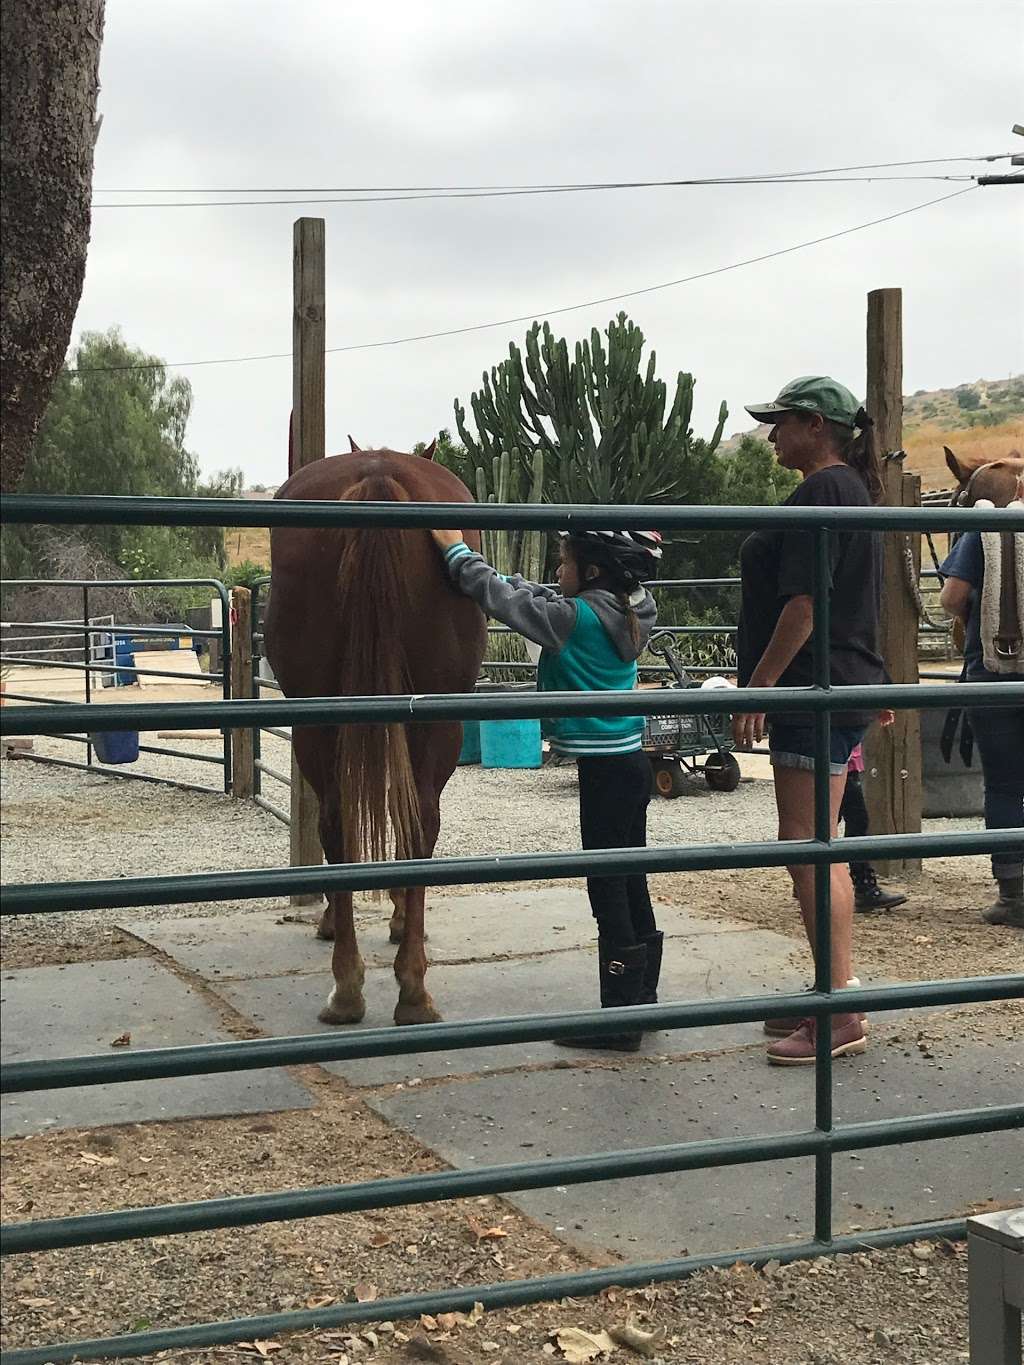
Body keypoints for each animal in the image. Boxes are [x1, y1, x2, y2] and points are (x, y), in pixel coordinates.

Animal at [264, 442, 488, 1026]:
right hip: (436, 724)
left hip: (322, 723)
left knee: (344, 821)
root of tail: (379, 471)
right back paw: (409, 989)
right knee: (417, 823)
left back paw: (351, 986)